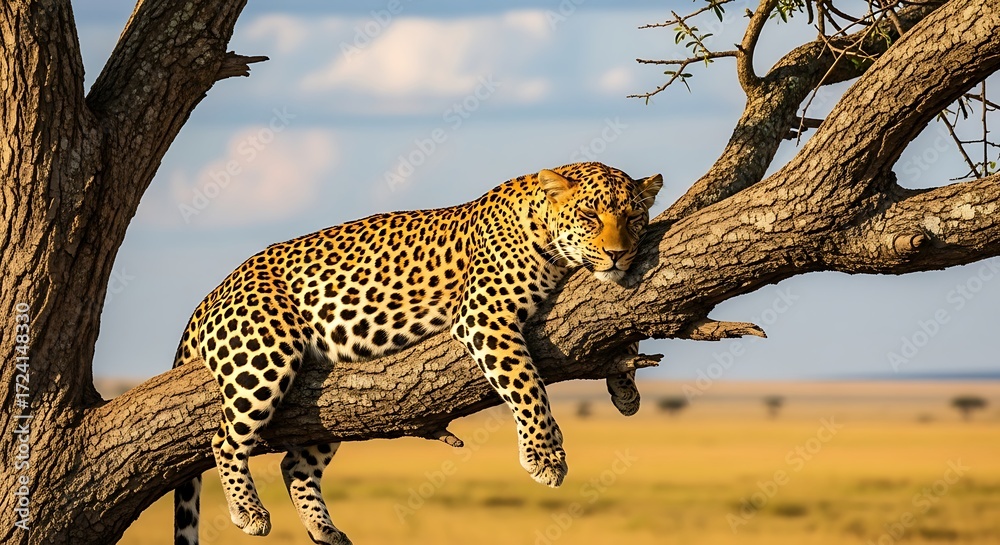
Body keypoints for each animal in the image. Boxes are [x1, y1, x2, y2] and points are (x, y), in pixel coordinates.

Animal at [171, 161, 662, 545]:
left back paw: (325, 530)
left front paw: (625, 389)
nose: (618, 255)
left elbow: (622, 324)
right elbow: (527, 385)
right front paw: (545, 457)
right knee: (224, 439)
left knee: (294, 464)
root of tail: (212, 294)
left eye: (635, 217)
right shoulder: (484, 314)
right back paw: (248, 512)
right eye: (589, 214)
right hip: (265, 356)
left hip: (330, 409)